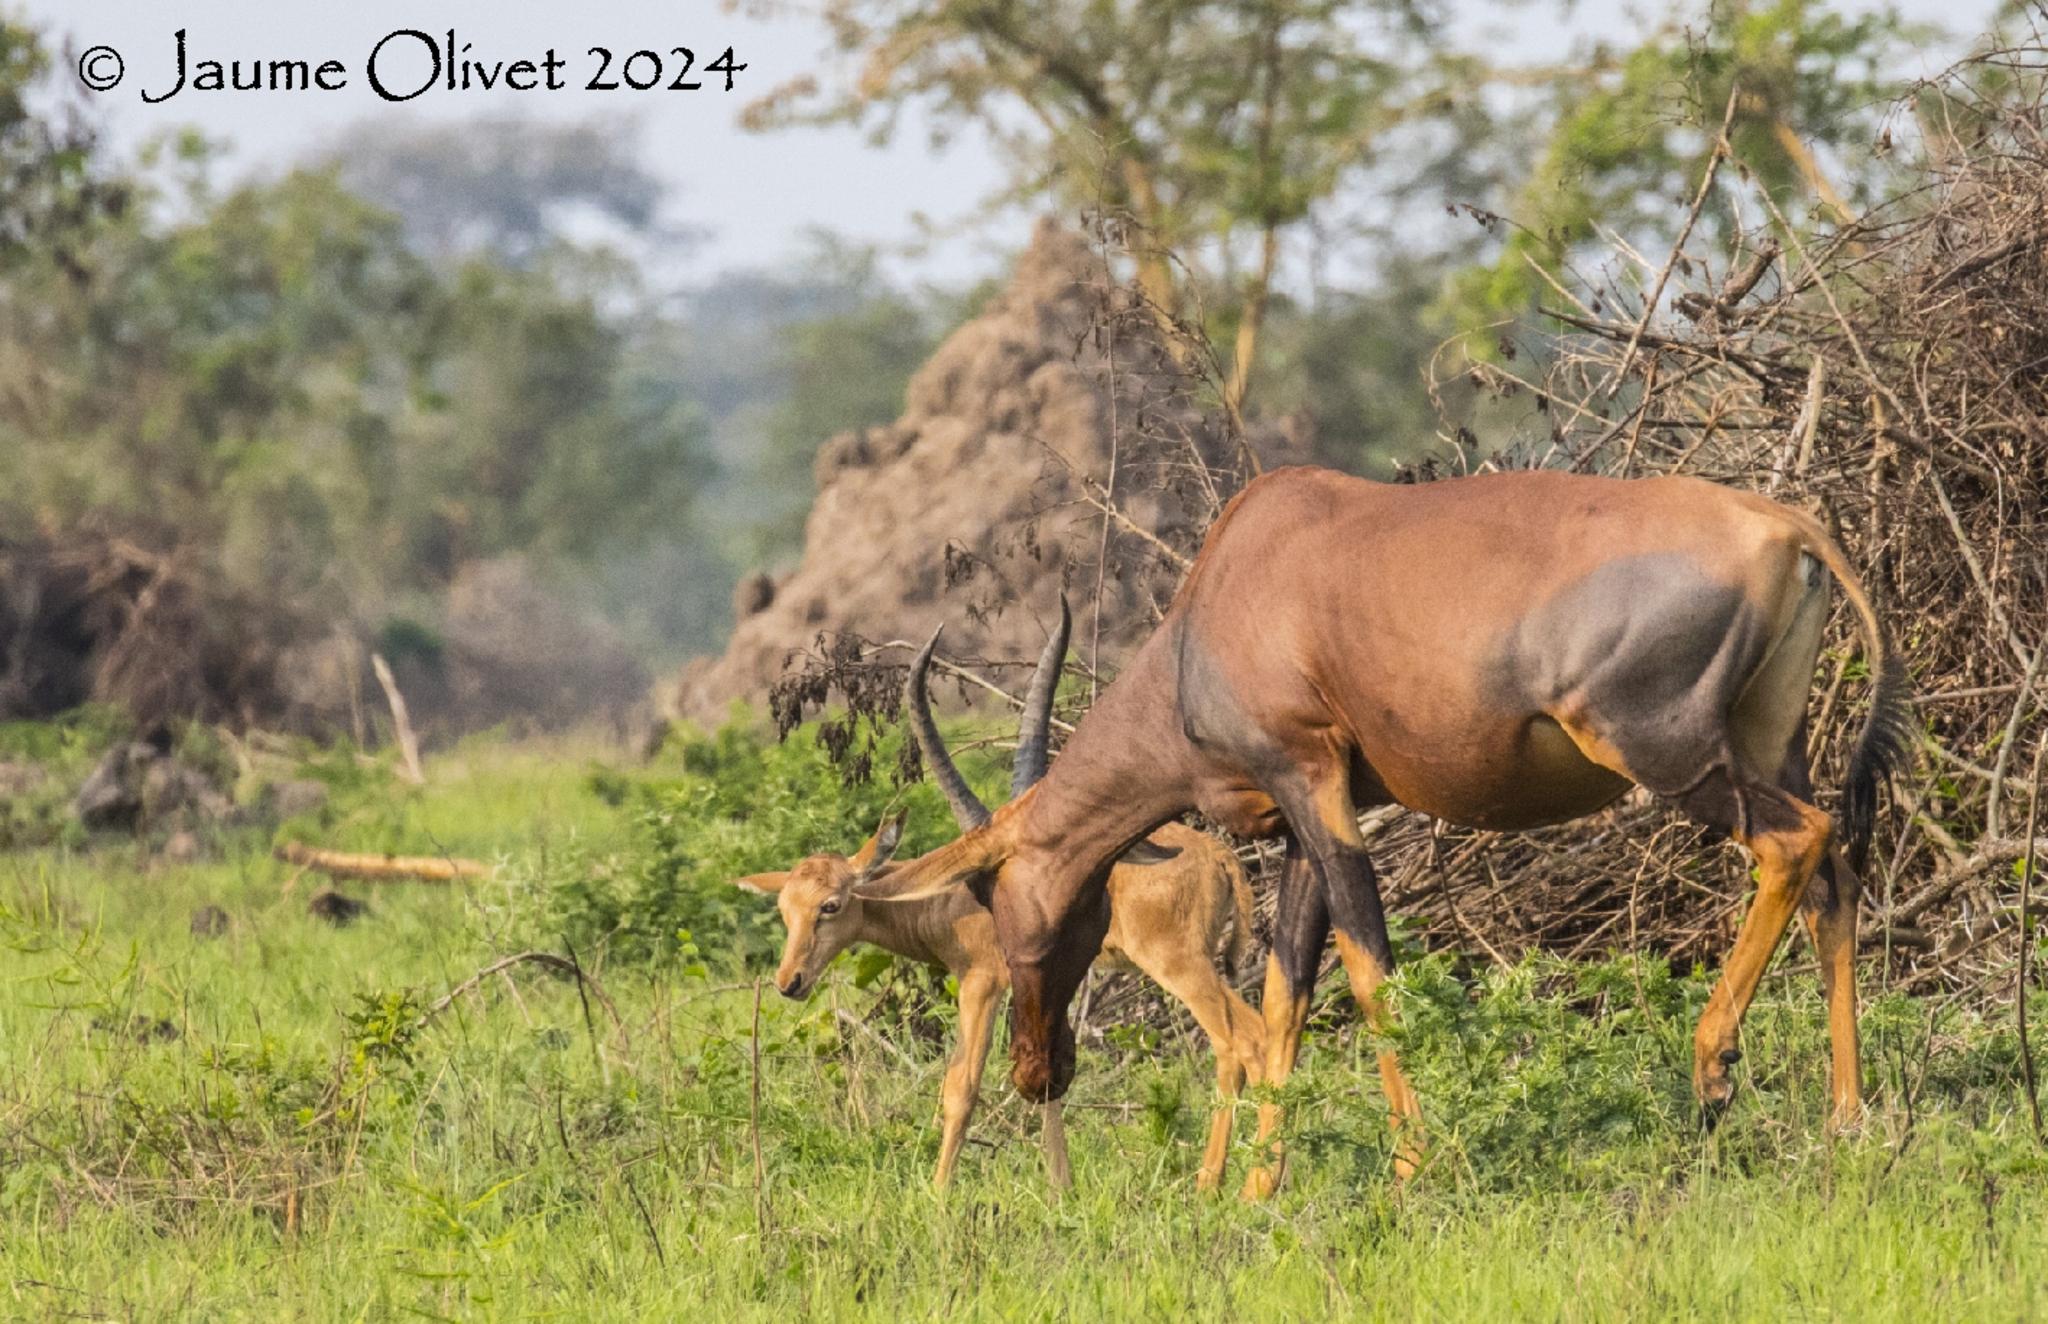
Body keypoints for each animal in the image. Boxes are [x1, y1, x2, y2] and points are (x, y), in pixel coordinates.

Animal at [729, 606, 1253, 1196]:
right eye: (784, 909)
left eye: (832, 904)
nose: (789, 982)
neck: (946, 891)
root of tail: (1220, 855)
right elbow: (1049, 1085)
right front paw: (1061, 1189)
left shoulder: (982, 983)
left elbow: (961, 1085)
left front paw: (938, 1195)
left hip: (1179, 965)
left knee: (1241, 1041)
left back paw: (1214, 1184)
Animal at [847, 469, 1900, 1205]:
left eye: (999, 898)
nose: (1038, 1072)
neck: (1239, 575)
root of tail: (1786, 526)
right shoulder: (1301, 813)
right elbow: (1286, 991)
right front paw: (1255, 1190)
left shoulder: (1311, 780)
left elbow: (1367, 972)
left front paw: (1409, 1166)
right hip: (1769, 738)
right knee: (1836, 876)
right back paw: (1847, 1123)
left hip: (1665, 751)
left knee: (1797, 842)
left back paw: (1713, 1072)